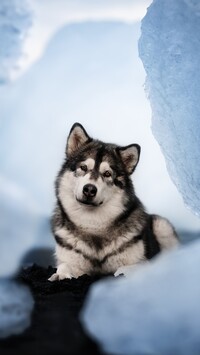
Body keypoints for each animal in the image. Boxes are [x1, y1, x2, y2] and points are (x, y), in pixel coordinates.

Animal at [48, 122, 178, 280]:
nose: (89, 189)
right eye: (83, 167)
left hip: (162, 226)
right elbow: (64, 266)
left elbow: (126, 269)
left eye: (107, 174)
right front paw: (60, 275)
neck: (93, 225)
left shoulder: (141, 262)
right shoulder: (70, 260)